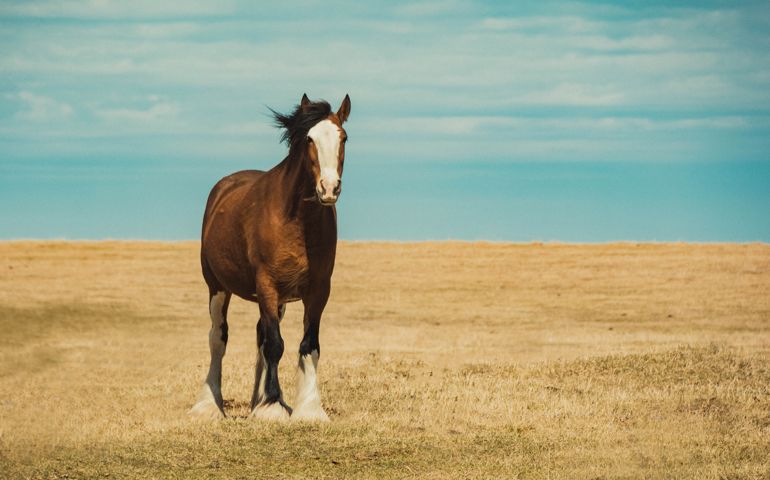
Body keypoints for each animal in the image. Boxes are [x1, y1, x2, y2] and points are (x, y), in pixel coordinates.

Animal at [189, 93, 351, 421]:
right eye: (309, 139)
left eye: (344, 138)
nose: (329, 188)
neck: (298, 221)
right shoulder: (266, 284)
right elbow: (275, 345)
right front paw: (273, 407)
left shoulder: (318, 289)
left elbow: (308, 344)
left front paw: (308, 408)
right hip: (218, 287)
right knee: (218, 338)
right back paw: (209, 405)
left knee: (260, 336)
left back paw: (256, 400)